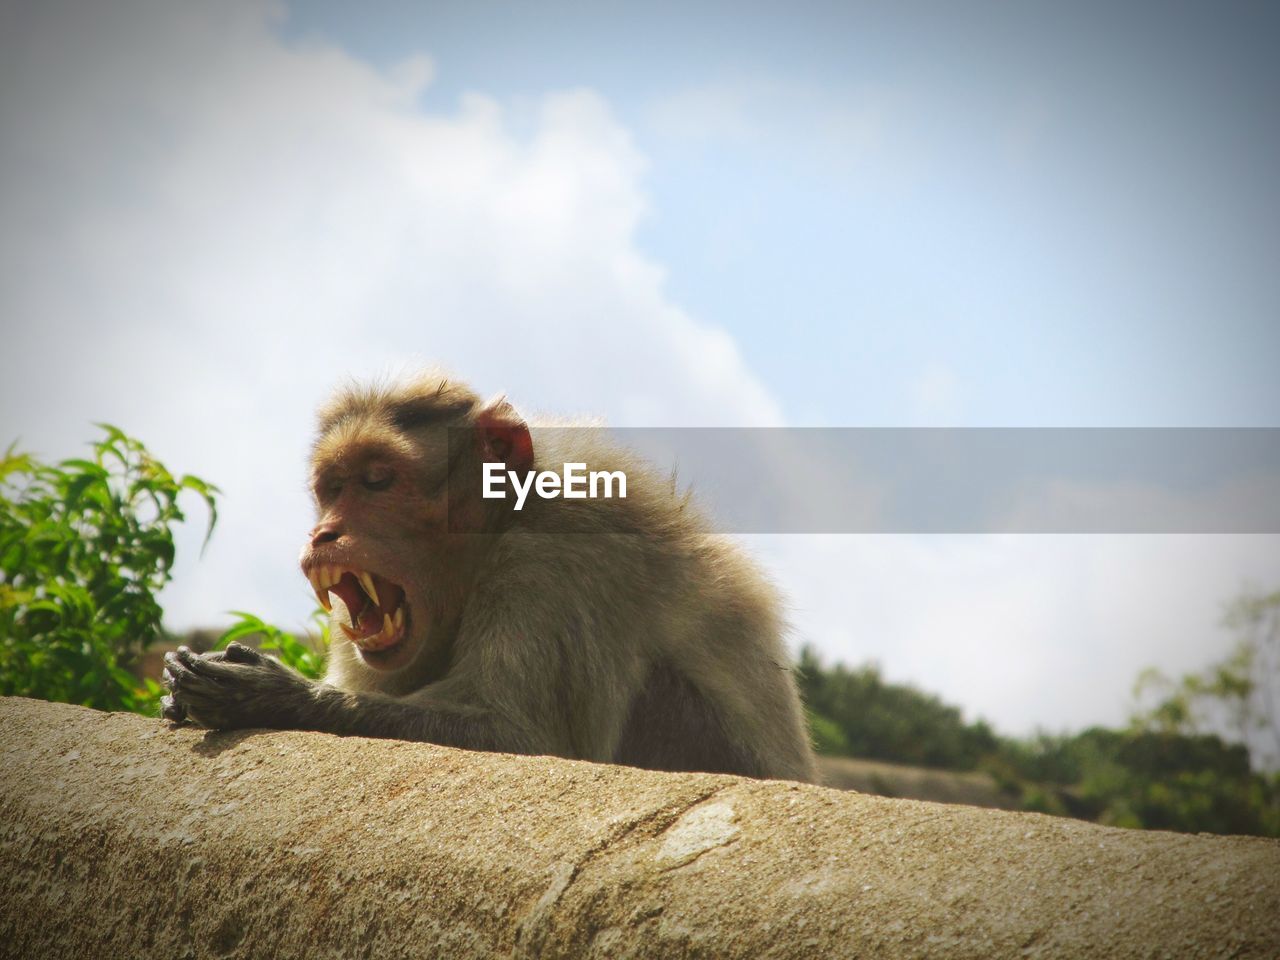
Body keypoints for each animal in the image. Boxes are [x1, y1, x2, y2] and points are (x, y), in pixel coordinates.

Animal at [162, 371, 819, 783]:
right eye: (332, 488)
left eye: (377, 480)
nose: (324, 534)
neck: (500, 526)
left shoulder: (557, 562)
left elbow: (525, 739)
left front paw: (273, 693)